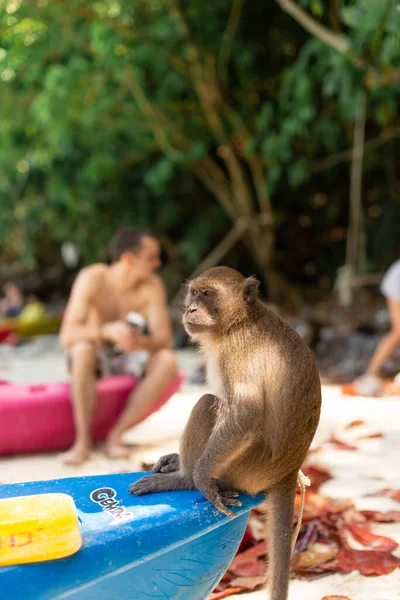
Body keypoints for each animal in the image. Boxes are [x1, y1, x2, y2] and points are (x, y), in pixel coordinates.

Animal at [129, 268, 322, 600]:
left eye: (208, 295)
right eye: (194, 293)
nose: (191, 309)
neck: (238, 322)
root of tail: (288, 471)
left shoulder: (237, 351)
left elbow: (246, 411)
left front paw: (200, 478)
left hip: (245, 468)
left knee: (208, 403)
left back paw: (184, 478)